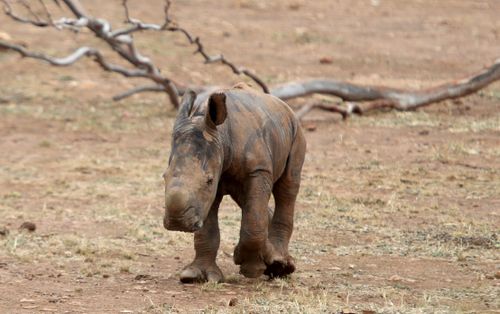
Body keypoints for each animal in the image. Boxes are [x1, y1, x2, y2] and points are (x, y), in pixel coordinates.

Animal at [163, 83, 304, 282]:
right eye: (164, 176)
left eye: (209, 180)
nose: (178, 223)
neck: (221, 136)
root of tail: (283, 105)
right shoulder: (214, 178)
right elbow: (208, 228)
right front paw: (196, 276)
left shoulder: (258, 170)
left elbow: (253, 219)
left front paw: (251, 268)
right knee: (248, 200)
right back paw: (272, 262)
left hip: (296, 131)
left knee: (287, 188)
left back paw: (280, 265)